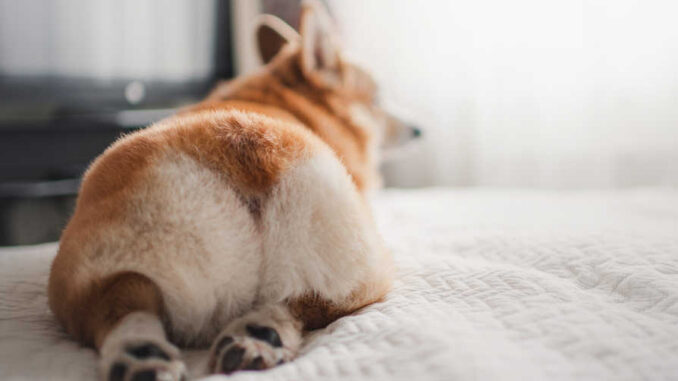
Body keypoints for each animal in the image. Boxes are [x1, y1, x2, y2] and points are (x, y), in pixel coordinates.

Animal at [46, 1, 420, 378]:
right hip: (365, 268)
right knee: (301, 305)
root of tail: (250, 148)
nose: (419, 130)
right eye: (378, 99)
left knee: (124, 301)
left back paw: (161, 354)